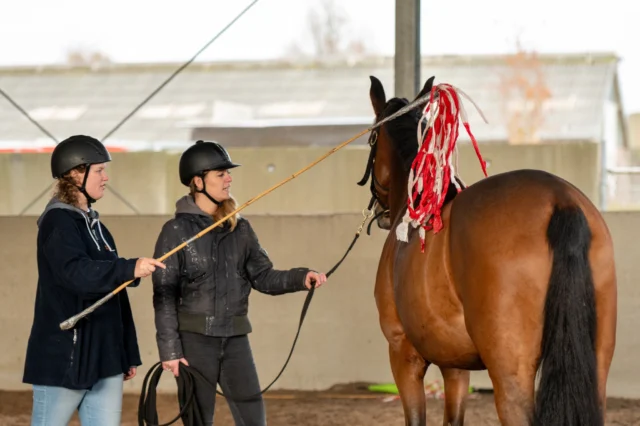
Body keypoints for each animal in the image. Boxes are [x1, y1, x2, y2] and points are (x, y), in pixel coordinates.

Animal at [357, 75, 617, 426]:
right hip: (595, 368)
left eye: (371, 139)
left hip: (510, 376)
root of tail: (560, 198)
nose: (381, 213)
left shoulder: (403, 353)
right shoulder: (454, 364)